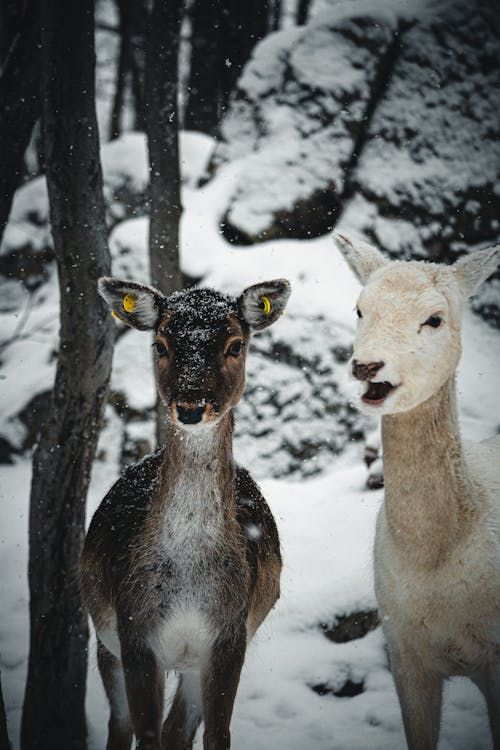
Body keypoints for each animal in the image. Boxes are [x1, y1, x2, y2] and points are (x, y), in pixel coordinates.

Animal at [80, 278, 292, 750]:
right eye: (160, 344)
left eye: (235, 344)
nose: (192, 406)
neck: (188, 585)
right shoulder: (133, 630)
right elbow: (146, 733)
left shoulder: (229, 636)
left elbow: (215, 734)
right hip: (103, 641)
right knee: (120, 725)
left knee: (177, 729)